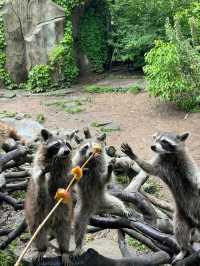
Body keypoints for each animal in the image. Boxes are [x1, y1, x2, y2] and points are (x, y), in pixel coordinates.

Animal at [25, 128, 73, 264]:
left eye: (68, 144)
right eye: (57, 144)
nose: (67, 151)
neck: (57, 160)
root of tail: (50, 223)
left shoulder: (63, 174)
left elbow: (64, 183)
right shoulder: (39, 167)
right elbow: (40, 186)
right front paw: (42, 176)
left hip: (63, 216)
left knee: (64, 233)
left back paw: (64, 251)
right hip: (35, 216)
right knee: (38, 234)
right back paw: (41, 249)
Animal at [121, 132, 200, 262]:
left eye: (164, 141)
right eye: (156, 140)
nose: (152, 147)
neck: (169, 155)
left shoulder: (187, 163)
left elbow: (195, 179)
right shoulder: (161, 163)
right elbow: (149, 168)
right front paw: (135, 157)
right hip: (181, 215)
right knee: (180, 230)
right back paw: (183, 250)